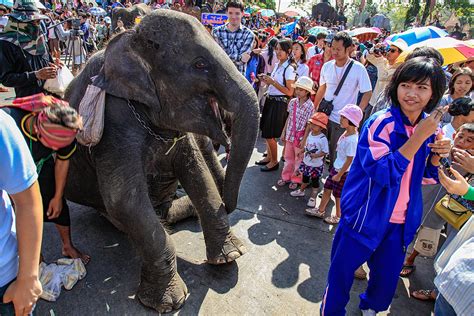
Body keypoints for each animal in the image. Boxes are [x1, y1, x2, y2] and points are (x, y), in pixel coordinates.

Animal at [63, 9, 260, 312]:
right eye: (200, 64)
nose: (226, 142)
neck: (130, 39)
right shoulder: (115, 119)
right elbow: (125, 201)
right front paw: (168, 303)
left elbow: (198, 175)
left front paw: (231, 256)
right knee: (131, 216)